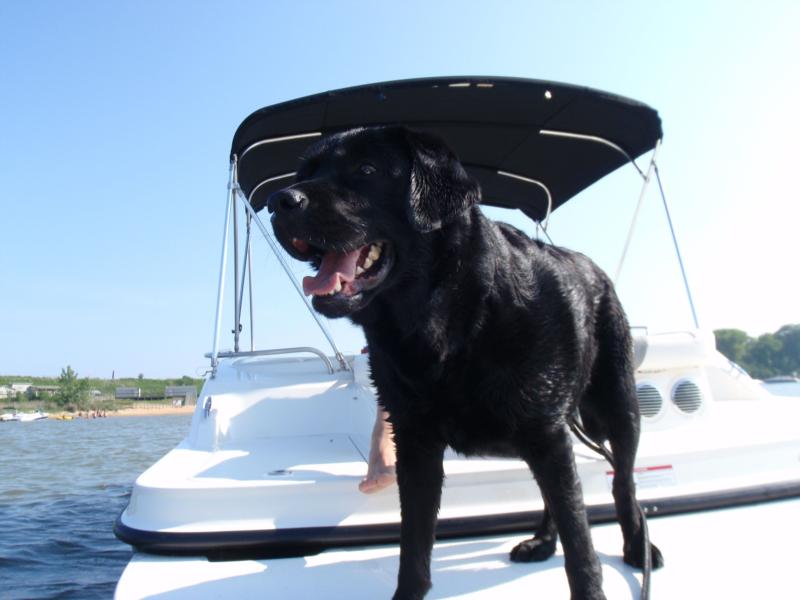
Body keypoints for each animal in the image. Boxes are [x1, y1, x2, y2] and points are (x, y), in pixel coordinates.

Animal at [268, 126, 664, 600]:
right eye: (306, 173)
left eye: (366, 169)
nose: (278, 200)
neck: (451, 323)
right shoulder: (415, 442)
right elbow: (414, 546)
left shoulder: (546, 435)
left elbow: (581, 546)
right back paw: (541, 543)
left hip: (617, 407)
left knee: (622, 483)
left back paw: (638, 546)